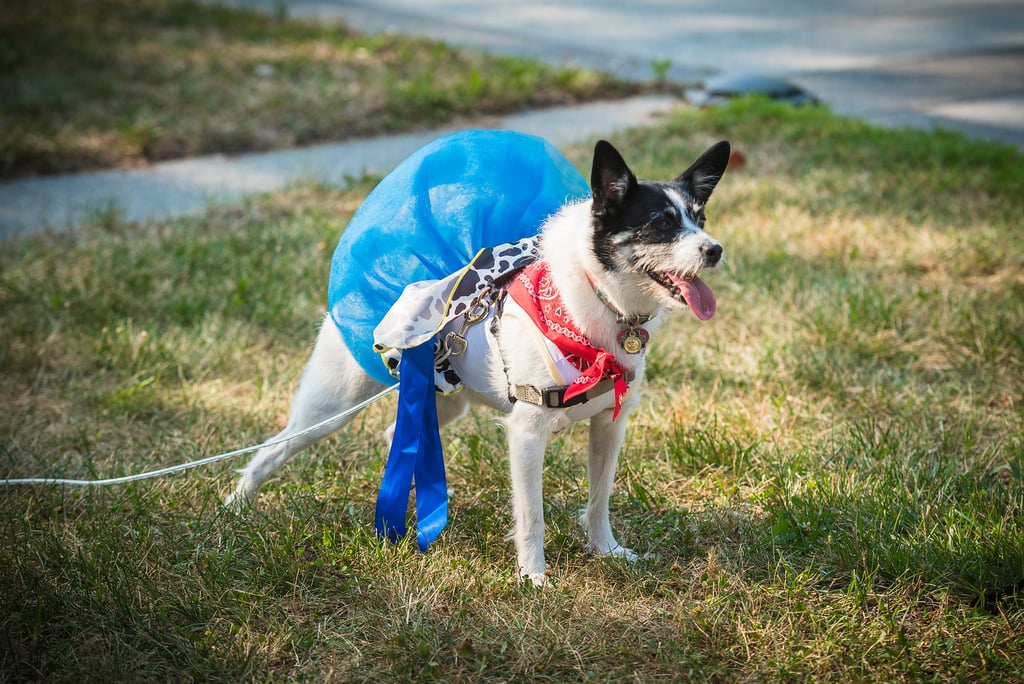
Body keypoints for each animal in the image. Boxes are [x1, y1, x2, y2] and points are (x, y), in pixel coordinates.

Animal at [228, 136, 733, 585]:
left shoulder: (610, 425)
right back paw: (235, 505)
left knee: (397, 434)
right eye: (661, 224)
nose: (715, 249)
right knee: (272, 449)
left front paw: (605, 550)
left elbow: (599, 499)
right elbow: (532, 516)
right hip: (332, 406)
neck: (597, 301)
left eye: (700, 218)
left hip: (443, 399)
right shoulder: (527, 434)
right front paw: (533, 577)